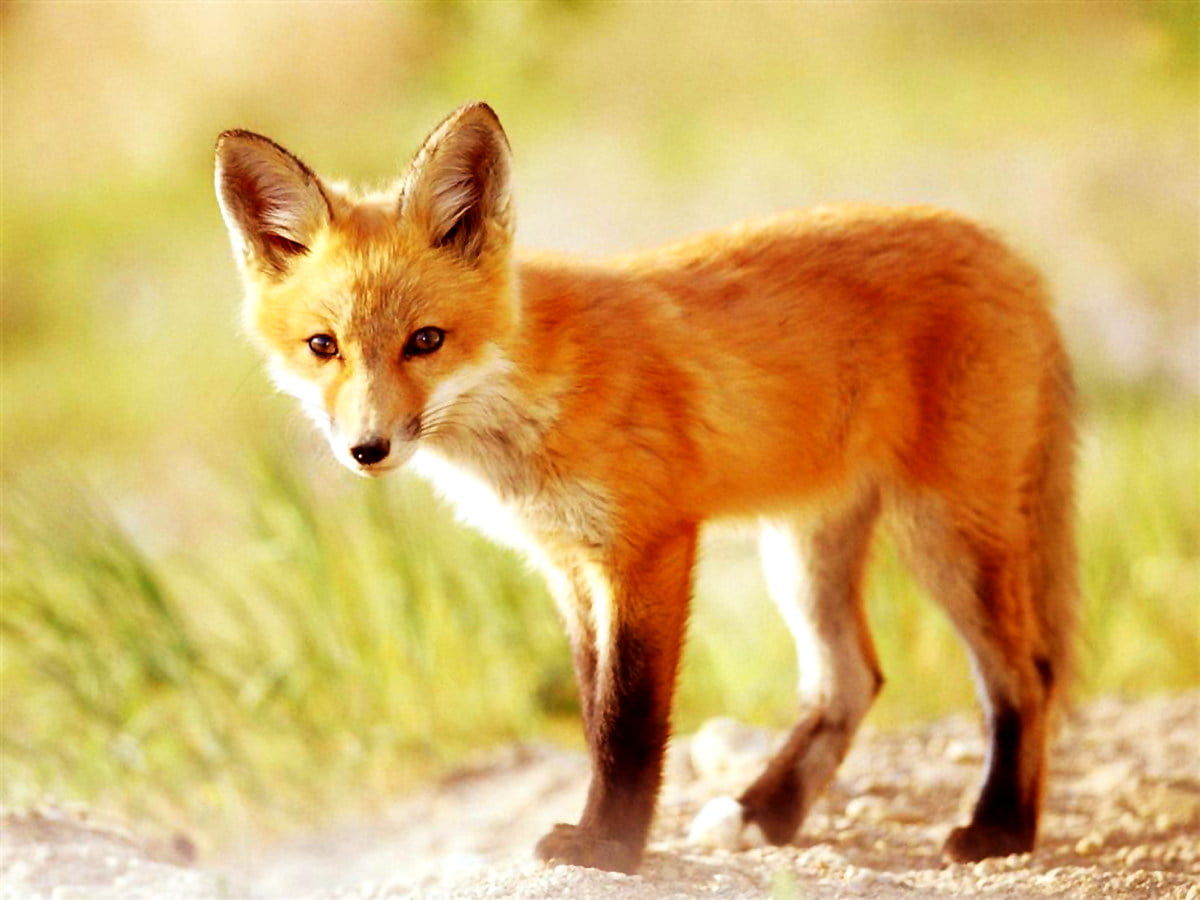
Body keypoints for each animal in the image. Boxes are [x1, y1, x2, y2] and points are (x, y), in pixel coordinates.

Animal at [214, 101, 1077, 874]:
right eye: (323, 346)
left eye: (425, 341)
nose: (367, 448)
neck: (531, 396)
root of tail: (1006, 248)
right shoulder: (567, 566)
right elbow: (594, 710)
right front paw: (611, 835)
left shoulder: (649, 545)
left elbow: (628, 722)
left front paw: (610, 849)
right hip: (803, 549)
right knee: (851, 682)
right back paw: (766, 814)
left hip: (947, 534)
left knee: (1025, 675)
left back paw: (999, 829)